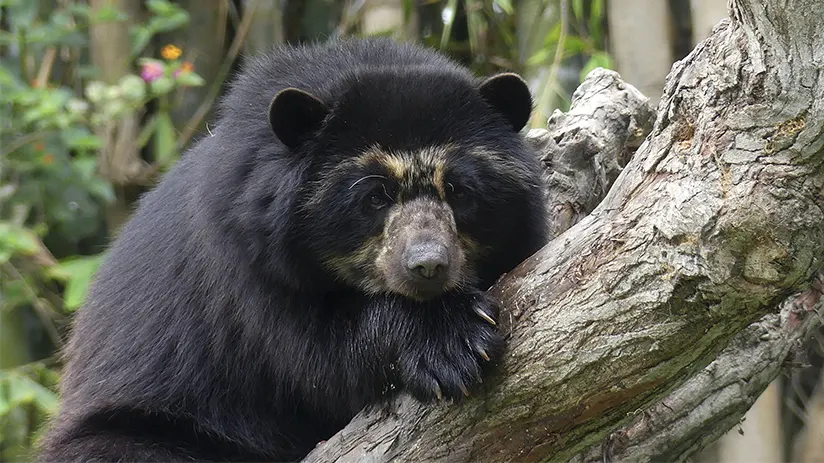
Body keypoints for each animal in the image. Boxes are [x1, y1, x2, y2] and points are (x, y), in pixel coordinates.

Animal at [37, 37, 549, 462]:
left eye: (459, 191)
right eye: (373, 196)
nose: (428, 265)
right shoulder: (245, 261)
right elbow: (314, 357)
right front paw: (452, 341)